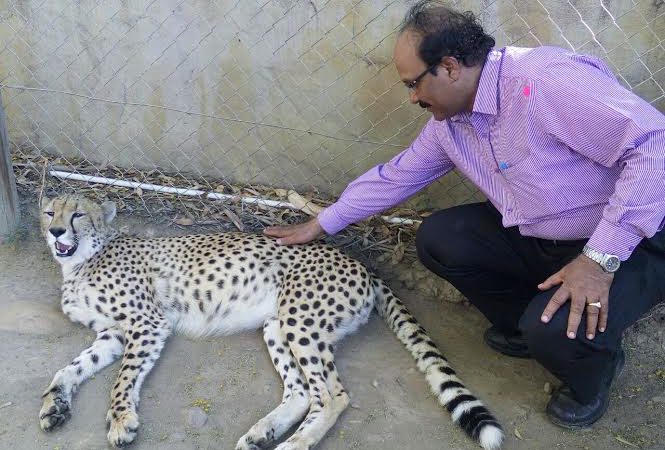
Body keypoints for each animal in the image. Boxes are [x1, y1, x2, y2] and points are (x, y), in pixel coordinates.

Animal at [39, 196, 500, 450]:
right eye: (48, 212)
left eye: (77, 215)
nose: (57, 230)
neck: (80, 261)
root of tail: (359, 263)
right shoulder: (114, 333)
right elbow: (70, 367)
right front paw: (54, 403)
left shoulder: (147, 323)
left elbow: (122, 378)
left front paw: (121, 421)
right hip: (277, 325)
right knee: (302, 392)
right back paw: (263, 434)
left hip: (301, 320)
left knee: (332, 395)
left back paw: (292, 445)